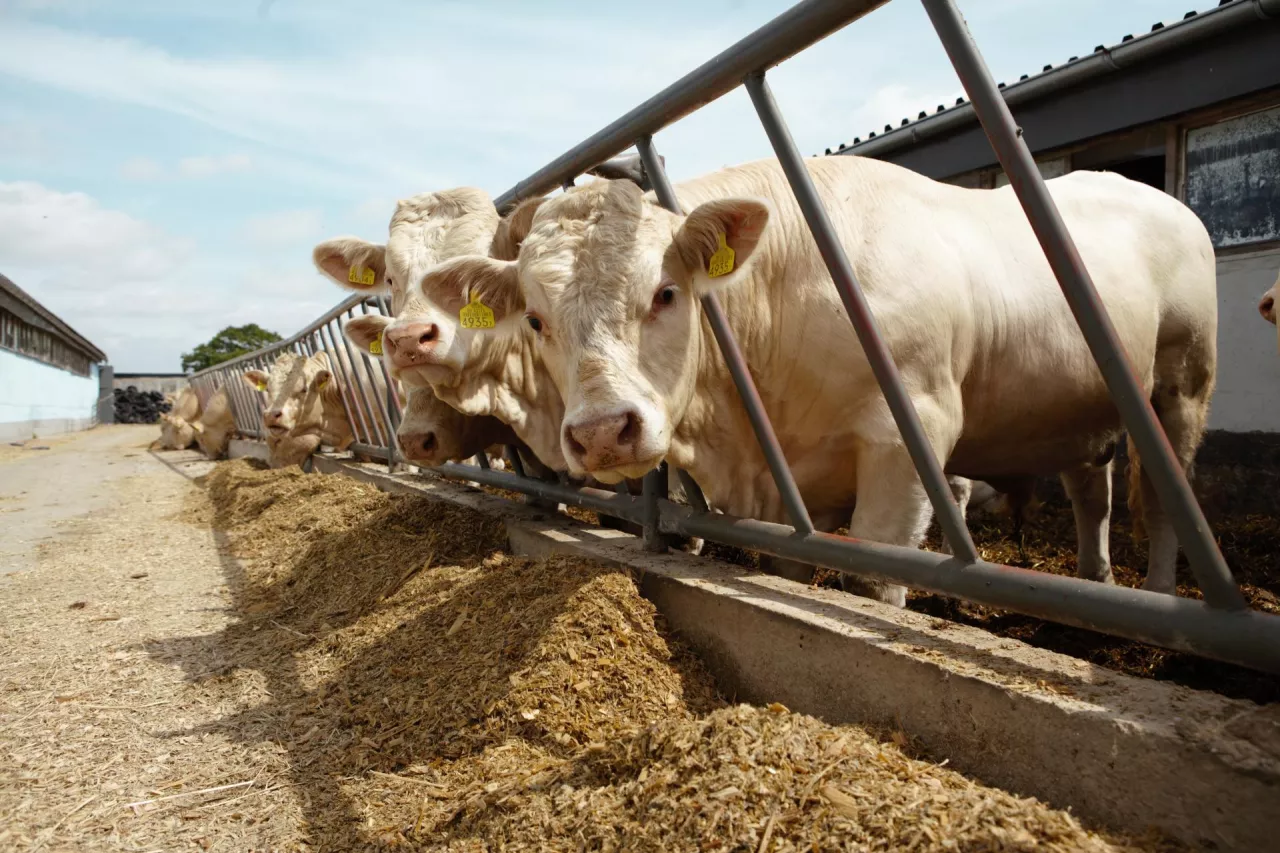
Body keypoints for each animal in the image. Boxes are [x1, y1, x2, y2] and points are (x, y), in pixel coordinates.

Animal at [427, 156, 1208, 601]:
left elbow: (879, 575)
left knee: (1164, 502)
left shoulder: (907, 447)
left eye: (665, 292)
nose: (601, 433)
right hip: (1088, 409)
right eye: (534, 318)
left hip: (1183, 383)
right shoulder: (792, 490)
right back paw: (1095, 579)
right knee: (1092, 492)